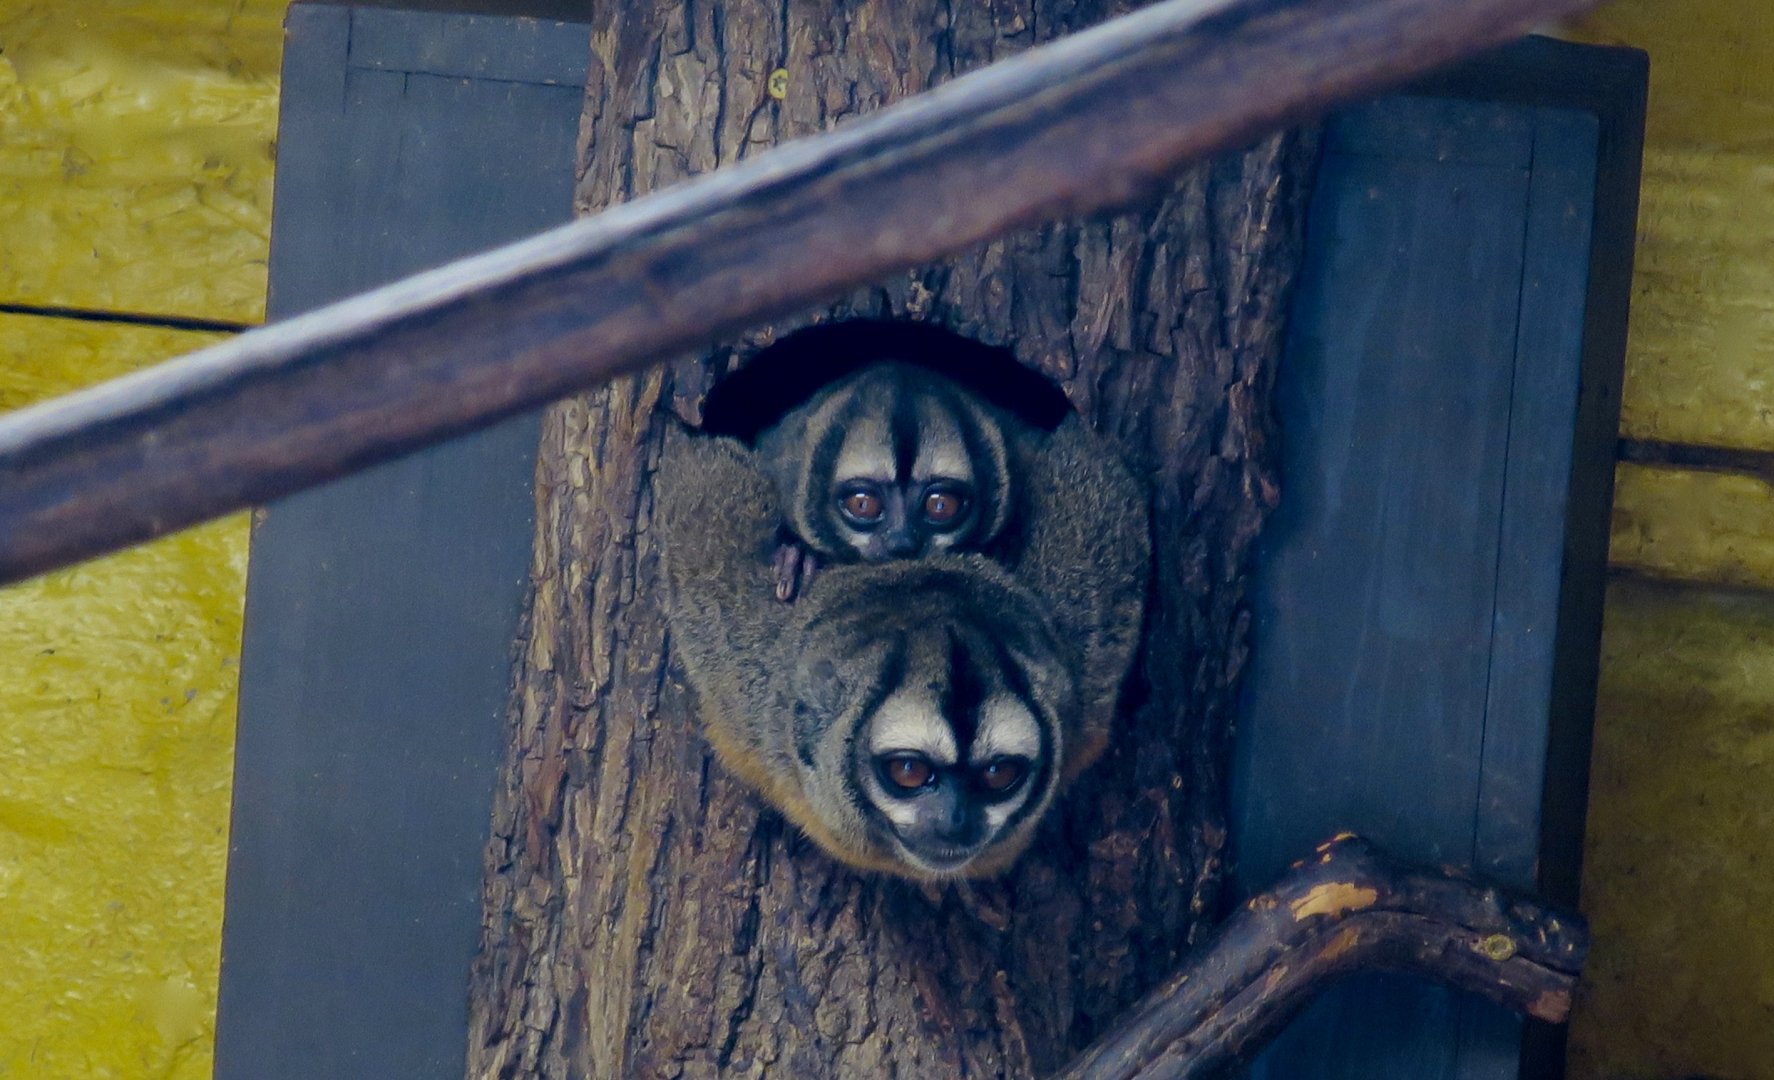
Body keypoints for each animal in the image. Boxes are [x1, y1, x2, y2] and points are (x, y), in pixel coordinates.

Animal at [653, 412, 1149, 879]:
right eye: (909, 772)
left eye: (999, 773)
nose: (955, 822)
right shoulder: (743, 673)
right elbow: (699, 488)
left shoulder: (1084, 663)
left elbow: (1095, 477)